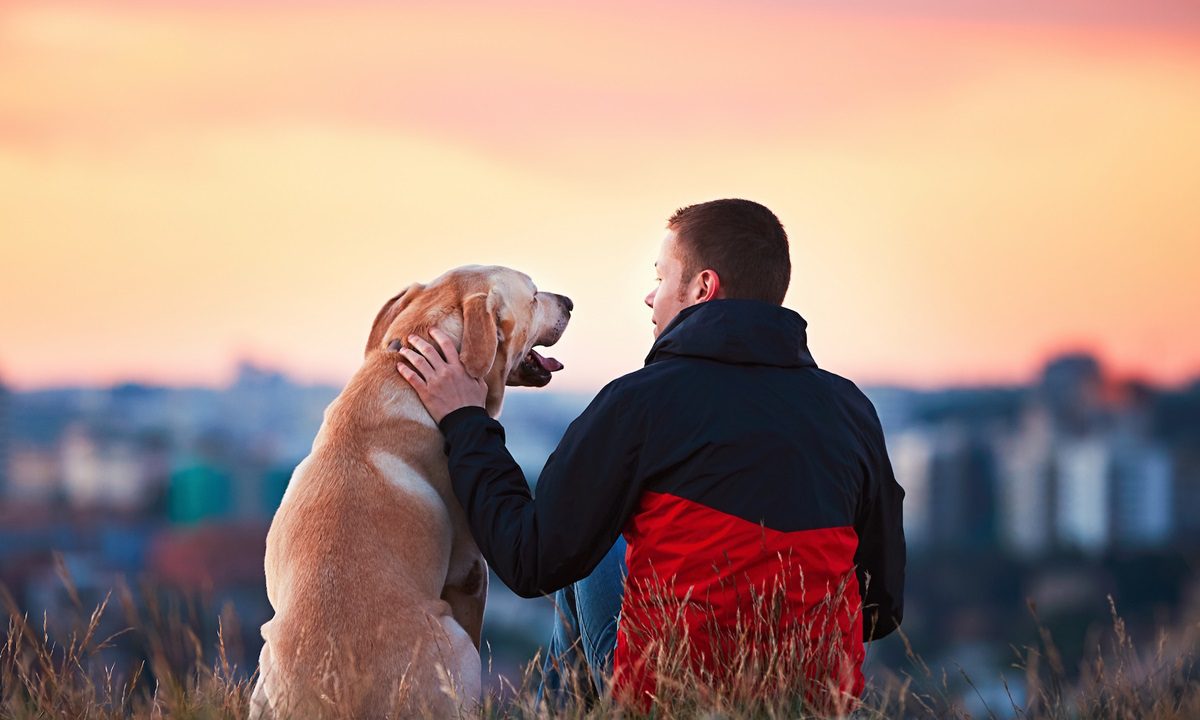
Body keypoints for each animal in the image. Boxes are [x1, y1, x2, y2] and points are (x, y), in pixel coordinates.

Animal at [248, 267, 571, 715]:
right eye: (536, 296)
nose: (570, 302)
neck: (401, 371)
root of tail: (333, 703)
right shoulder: (471, 571)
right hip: (456, 646)